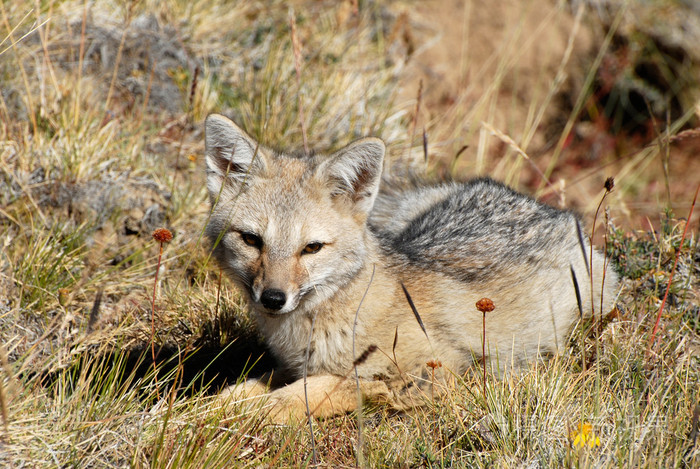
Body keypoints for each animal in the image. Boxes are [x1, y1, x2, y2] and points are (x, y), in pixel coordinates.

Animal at [202, 113, 616, 420]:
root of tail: (548, 207)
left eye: (311, 248)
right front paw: (205, 408)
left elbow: (311, 391)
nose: (273, 299)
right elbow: (245, 388)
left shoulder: (438, 369)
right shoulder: (292, 365)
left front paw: (242, 415)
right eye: (252, 240)